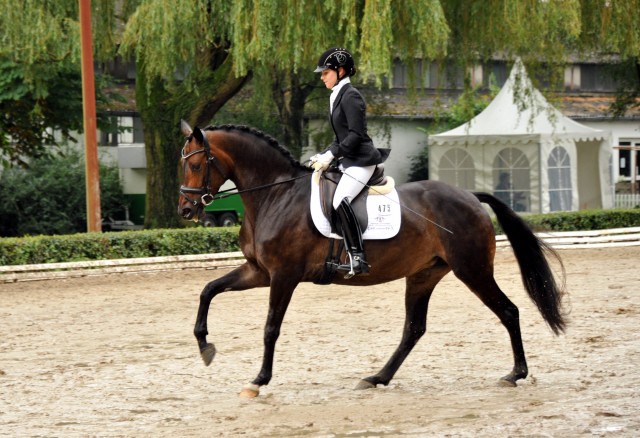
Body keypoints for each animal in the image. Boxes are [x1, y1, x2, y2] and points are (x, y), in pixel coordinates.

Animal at [175, 120, 564, 396]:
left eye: (195, 164)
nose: (185, 211)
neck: (275, 195)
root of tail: (469, 195)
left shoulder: (283, 275)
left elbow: (271, 327)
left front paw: (258, 380)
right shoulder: (259, 271)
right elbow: (208, 289)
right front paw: (205, 346)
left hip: (472, 269)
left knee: (508, 311)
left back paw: (515, 375)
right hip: (424, 274)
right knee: (413, 329)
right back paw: (377, 378)